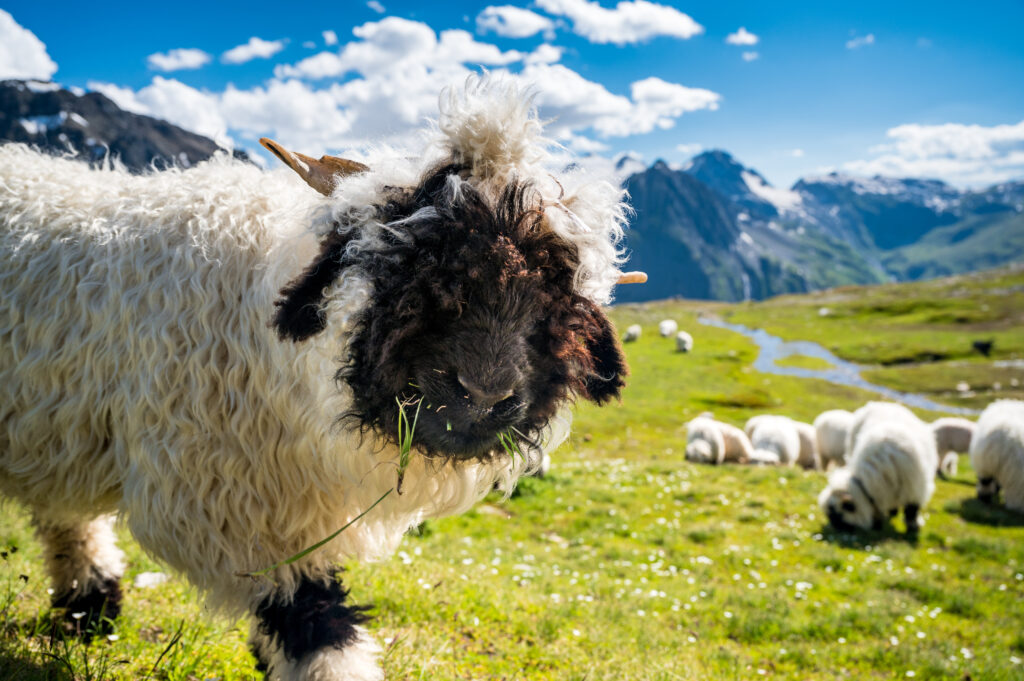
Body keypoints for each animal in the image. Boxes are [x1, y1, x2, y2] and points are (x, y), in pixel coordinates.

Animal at [819, 401, 937, 532]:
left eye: (836, 516)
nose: (833, 529)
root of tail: (880, 403)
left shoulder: (914, 488)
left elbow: (912, 509)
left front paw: (913, 526)